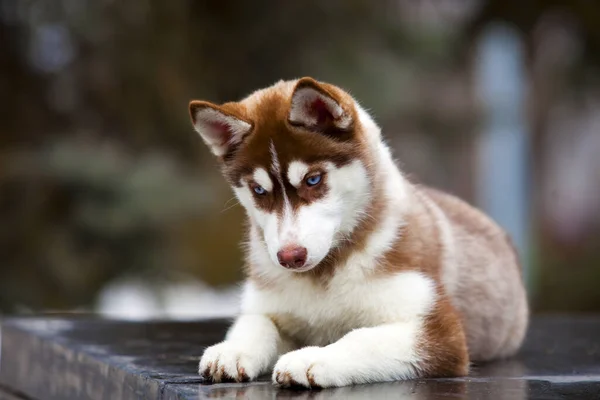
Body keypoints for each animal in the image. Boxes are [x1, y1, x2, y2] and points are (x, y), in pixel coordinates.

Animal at [189, 77, 528, 388]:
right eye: (259, 190)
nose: (289, 257)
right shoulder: (267, 304)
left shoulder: (439, 331)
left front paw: (313, 358)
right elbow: (254, 324)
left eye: (313, 180)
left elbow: (362, 338)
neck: (325, 272)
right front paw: (232, 350)